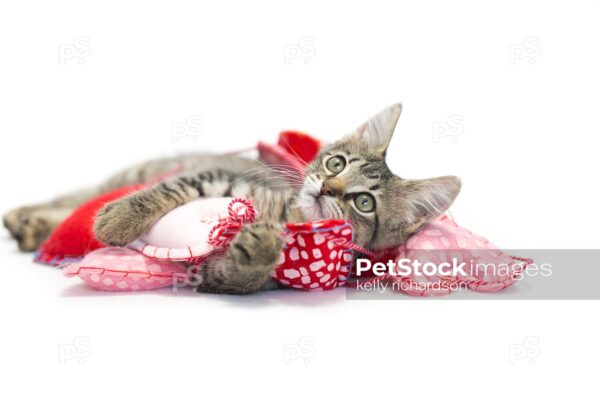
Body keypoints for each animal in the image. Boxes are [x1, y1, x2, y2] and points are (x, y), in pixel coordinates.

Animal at [3, 104, 460, 294]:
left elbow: (238, 274)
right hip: (135, 173)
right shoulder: (218, 177)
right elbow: (173, 189)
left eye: (364, 203)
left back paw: (32, 229)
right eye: (336, 163)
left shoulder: (209, 273)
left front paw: (259, 248)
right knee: (78, 197)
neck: (286, 212)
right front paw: (118, 220)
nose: (327, 189)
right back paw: (26, 216)